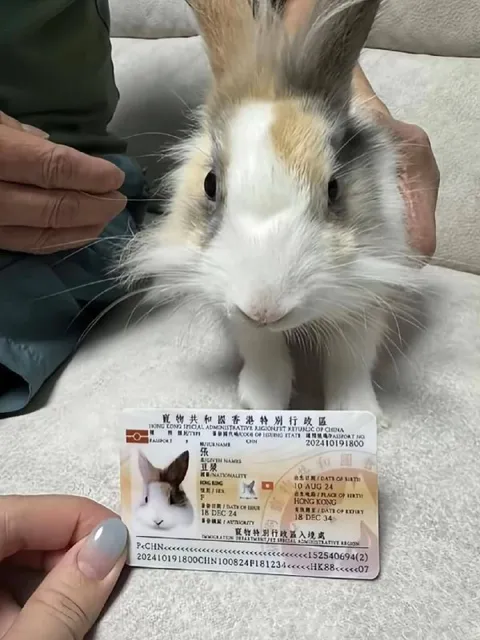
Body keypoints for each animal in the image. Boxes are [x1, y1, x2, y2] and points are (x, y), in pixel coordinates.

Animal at [122, 0, 429, 428]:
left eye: (334, 188)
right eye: (210, 184)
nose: (264, 309)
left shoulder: (365, 298)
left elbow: (350, 360)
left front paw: (360, 415)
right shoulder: (234, 310)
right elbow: (261, 349)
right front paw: (261, 403)